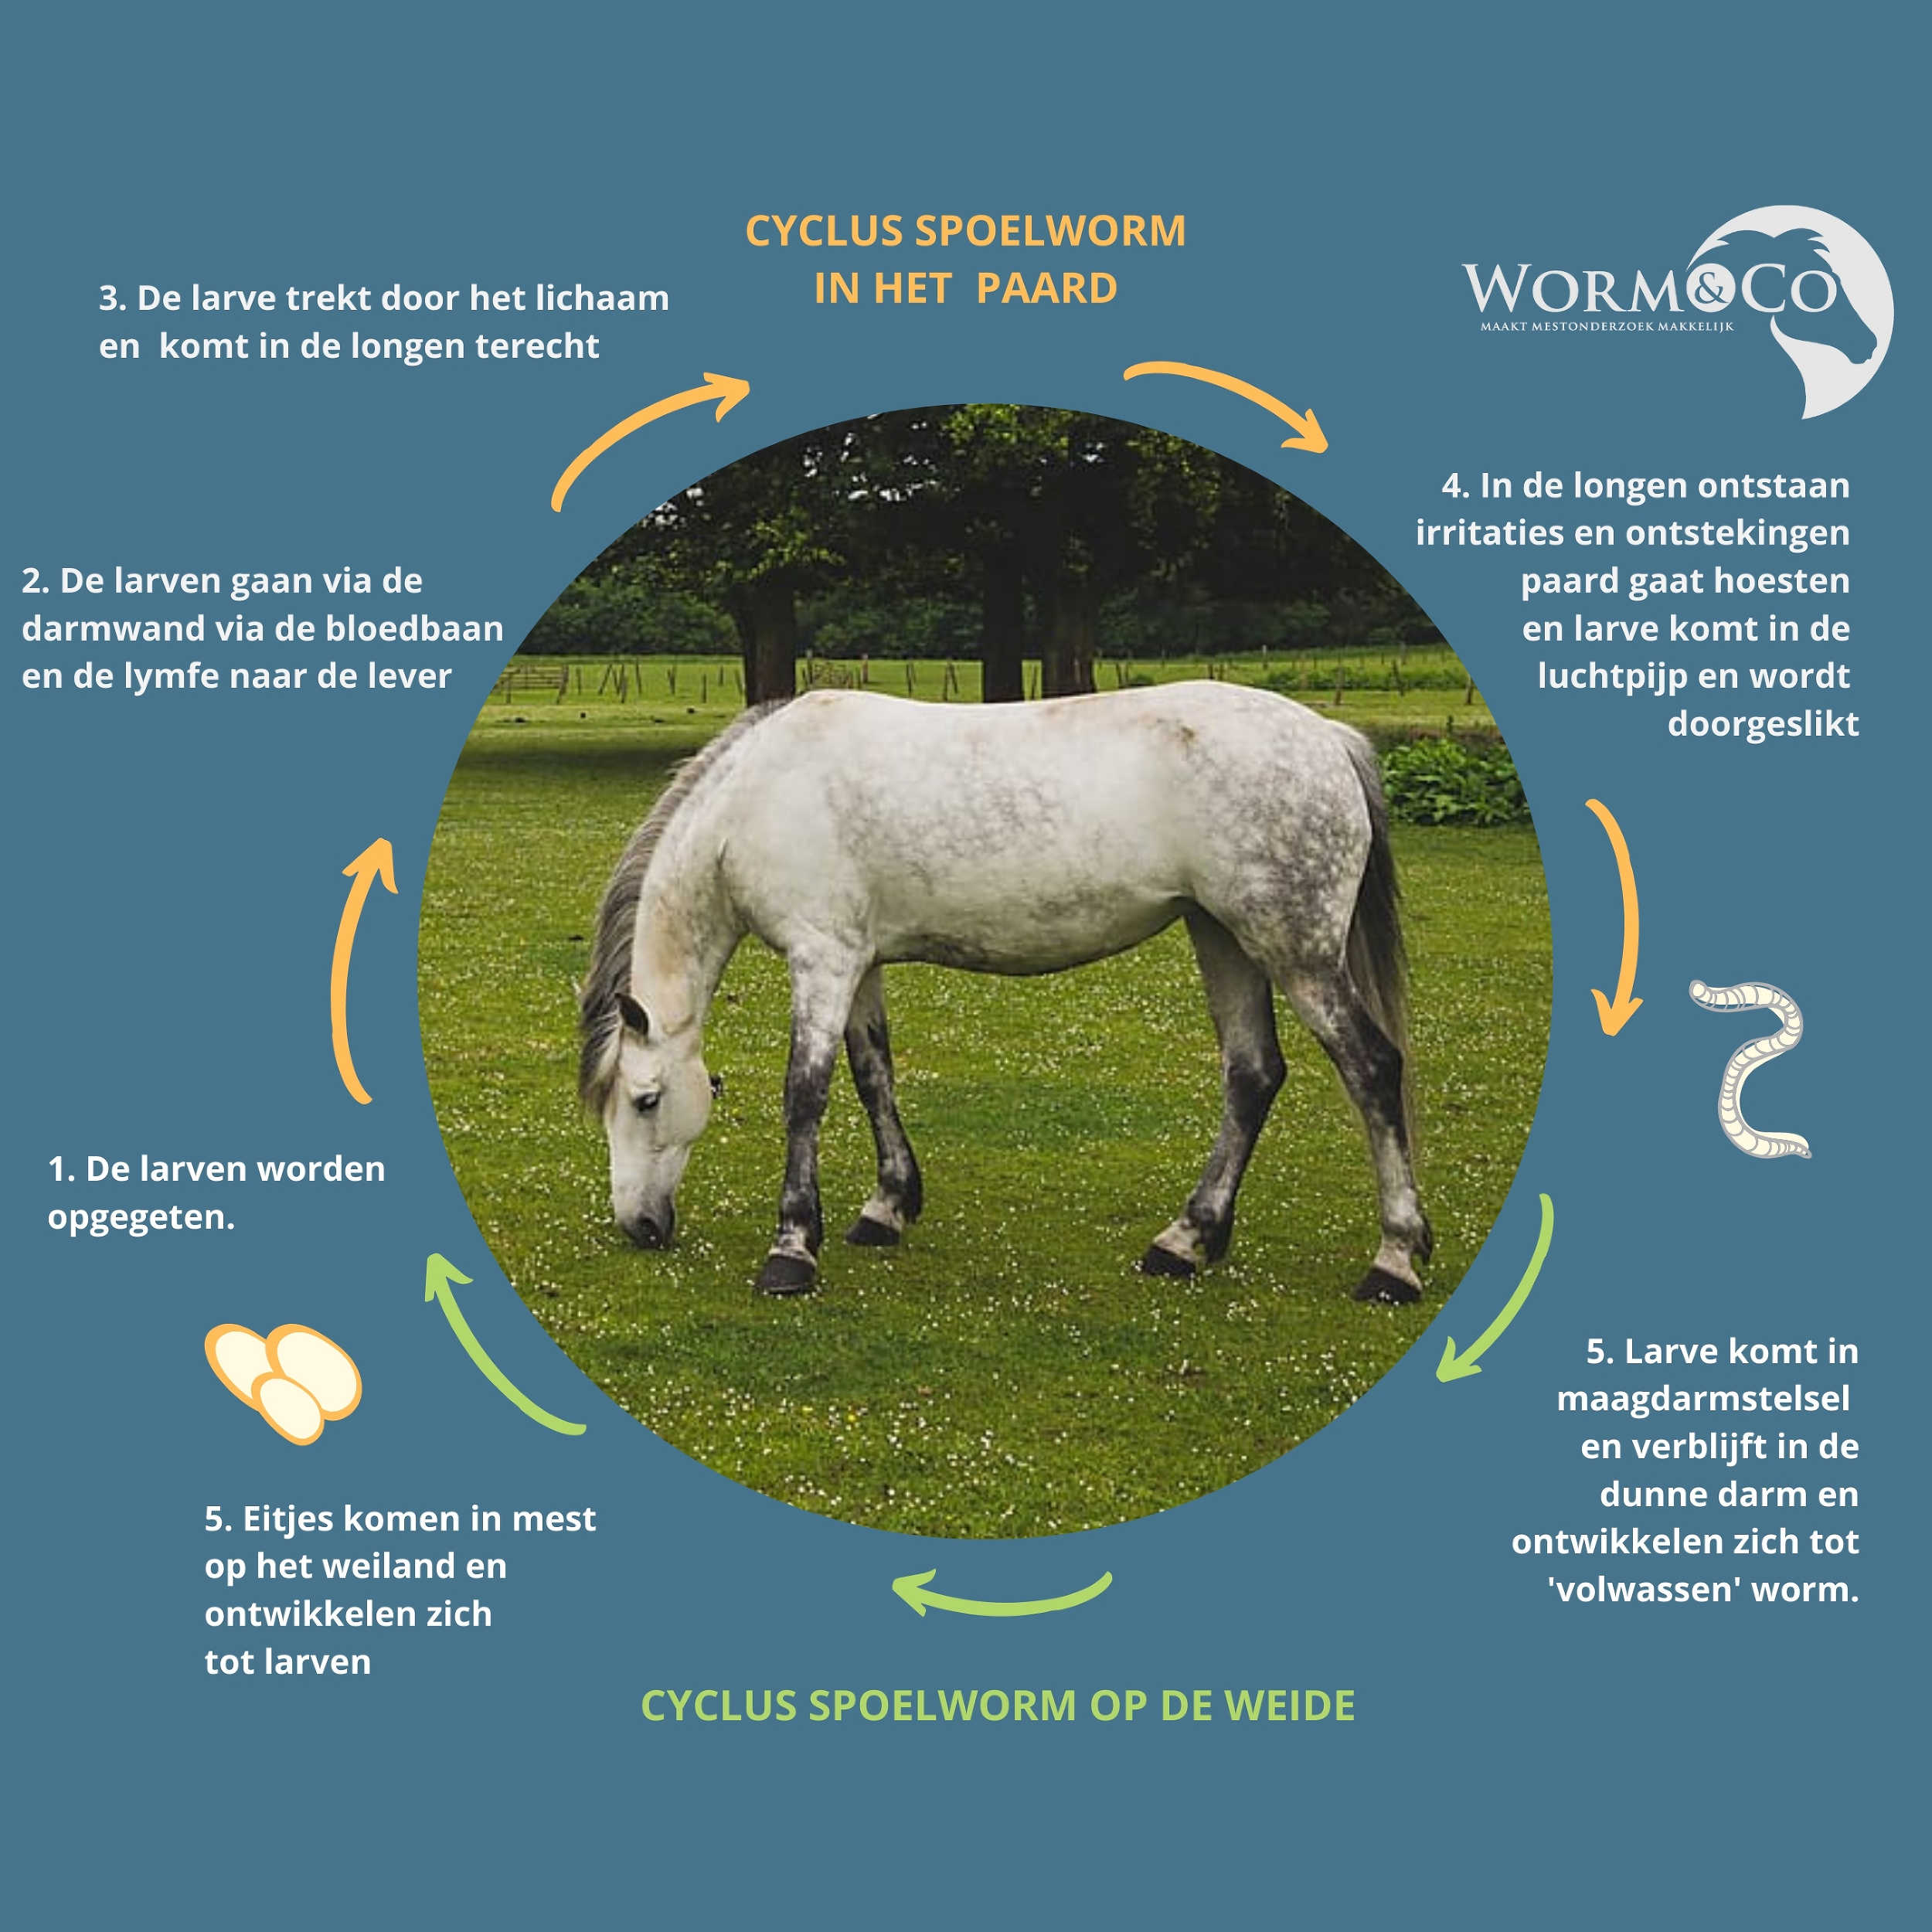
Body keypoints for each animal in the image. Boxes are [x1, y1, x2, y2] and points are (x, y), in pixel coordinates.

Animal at [578, 681, 1432, 1304]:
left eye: (647, 1101)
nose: (639, 1226)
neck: (759, 794)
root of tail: (1329, 739)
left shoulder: (821, 961)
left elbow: (806, 1094)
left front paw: (792, 1249)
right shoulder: (857, 963)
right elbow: (873, 1075)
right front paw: (887, 1207)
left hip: (1296, 954)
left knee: (1371, 1069)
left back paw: (1393, 1261)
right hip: (1223, 938)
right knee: (1252, 1075)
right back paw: (1186, 1241)